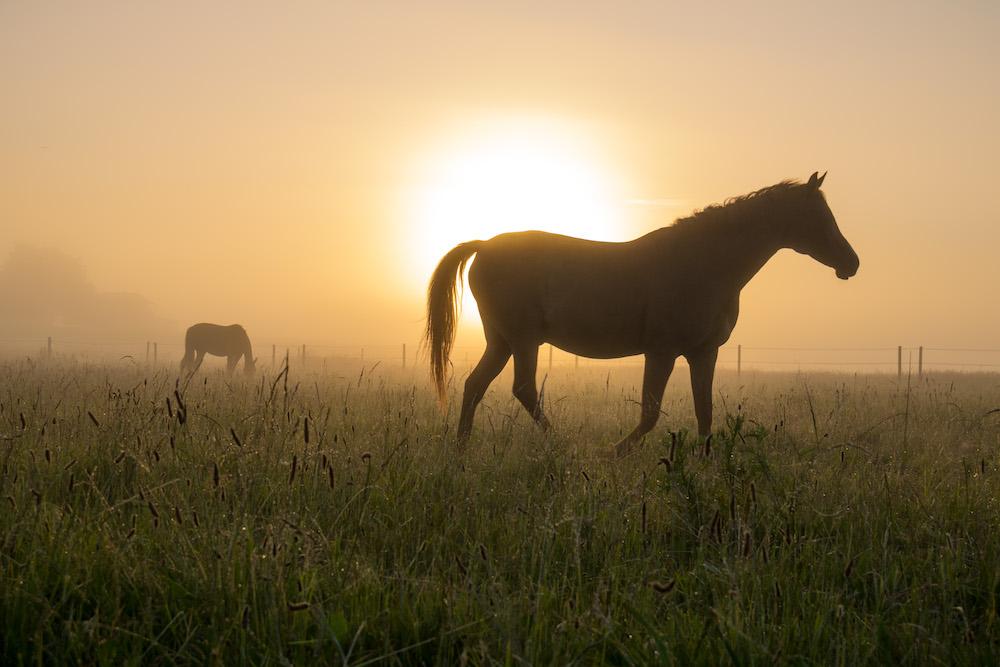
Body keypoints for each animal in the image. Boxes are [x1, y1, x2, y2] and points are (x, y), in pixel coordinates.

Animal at [422, 171, 860, 460]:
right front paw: (616, 451)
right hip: (523, 340)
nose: (851, 263)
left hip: (501, 341)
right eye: (819, 217)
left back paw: (461, 450)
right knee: (523, 389)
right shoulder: (661, 352)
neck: (705, 265)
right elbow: (650, 413)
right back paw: (558, 443)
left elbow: (705, 411)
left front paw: (707, 464)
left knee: (474, 385)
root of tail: (483, 245)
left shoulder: (704, 353)